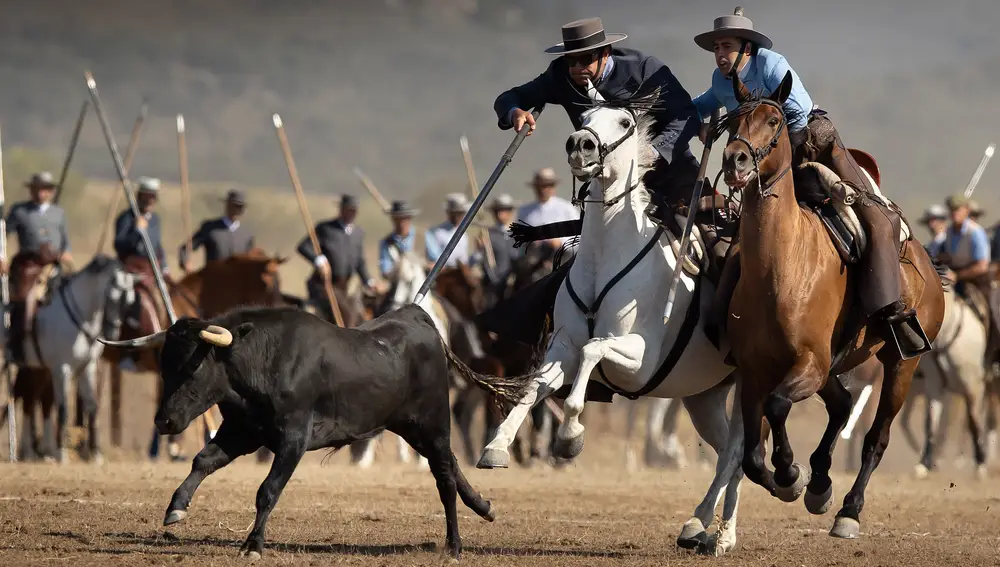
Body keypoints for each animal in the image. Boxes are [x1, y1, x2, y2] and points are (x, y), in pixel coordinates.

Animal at [2, 255, 137, 464]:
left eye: (129, 302)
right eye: (112, 298)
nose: (112, 333)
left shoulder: (86, 367)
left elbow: (92, 406)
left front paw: (96, 454)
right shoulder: (62, 370)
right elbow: (63, 408)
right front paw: (61, 454)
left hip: (37, 370)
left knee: (31, 401)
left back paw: (33, 452)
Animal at [100, 304, 540, 560]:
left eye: (193, 368)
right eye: (164, 366)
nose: (164, 422)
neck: (263, 361)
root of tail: (422, 320)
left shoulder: (292, 441)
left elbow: (267, 490)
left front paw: (253, 545)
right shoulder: (242, 431)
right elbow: (203, 460)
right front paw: (176, 507)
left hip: (432, 424)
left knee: (444, 477)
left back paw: (454, 545)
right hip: (412, 428)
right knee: (450, 466)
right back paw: (483, 506)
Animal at [476, 101, 744, 556]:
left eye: (624, 122)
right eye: (583, 117)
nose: (580, 145)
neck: (606, 257)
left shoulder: (637, 359)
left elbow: (593, 351)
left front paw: (570, 435)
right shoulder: (561, 348)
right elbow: (535, 386)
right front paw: (496, 446)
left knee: (739, 452)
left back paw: (713, 529)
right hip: (703, 398)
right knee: (729, 451)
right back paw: (710, 530)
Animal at [720, 72, 944, 540]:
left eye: (773, 120)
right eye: (732, 120)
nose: (736, 161)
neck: (782, 266)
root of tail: (929, 268)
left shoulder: (810, 364)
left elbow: (778, 408)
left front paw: (790, 473)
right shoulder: (754, 372)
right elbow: (751, 457)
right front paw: (792, 480)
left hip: (901, 365)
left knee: (876, 438)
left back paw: (848, 511)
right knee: (842, 406)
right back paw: (821, 484)